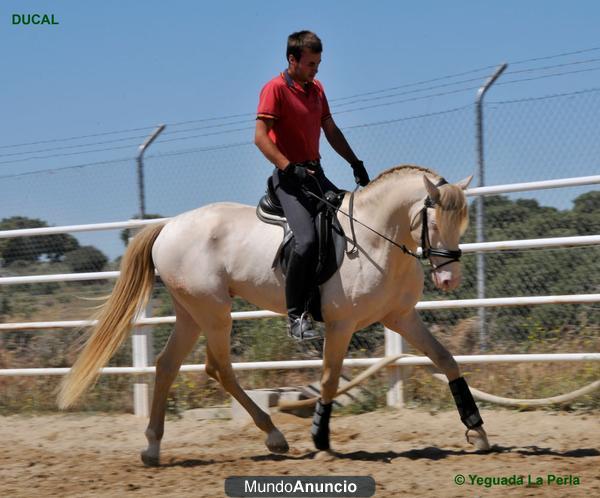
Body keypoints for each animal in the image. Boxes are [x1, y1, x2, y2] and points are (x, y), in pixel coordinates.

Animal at [56, 165, 490, 464]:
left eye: (463, 221)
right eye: (433, 220)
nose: (449, 278)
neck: (373, 237)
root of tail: (167, 227)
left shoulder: (401, 317)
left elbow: (446, 360)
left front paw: (478, 431)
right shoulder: (341, 324)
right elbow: (329, 379)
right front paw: (320, 441)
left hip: (191, 313)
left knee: (167, 366)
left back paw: (153, 447)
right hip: (214, 312)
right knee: (218, 368)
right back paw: (274, 436)